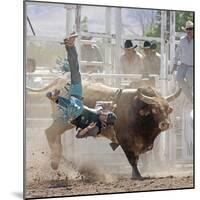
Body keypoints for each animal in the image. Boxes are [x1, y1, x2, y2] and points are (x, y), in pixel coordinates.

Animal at [25, 79, 180, 180]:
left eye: (168, 109)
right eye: (154, 109)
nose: (165, 124)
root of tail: (61, 81)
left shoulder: (142, 142)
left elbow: (143, 157)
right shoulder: (125, 141)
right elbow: (132, 159)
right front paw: (137, 175)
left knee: (54, 134)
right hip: (63, 121)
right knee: (50, 132)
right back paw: (55, 162)